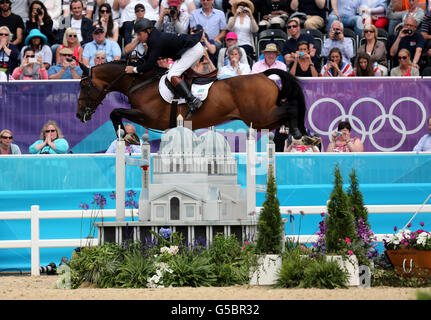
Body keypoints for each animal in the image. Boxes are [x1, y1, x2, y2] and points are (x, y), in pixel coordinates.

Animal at [77, 60, 308, 139]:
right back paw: (302, 134)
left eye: (84, 86)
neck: (140, 82)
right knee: (287, 112)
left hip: (260, 116)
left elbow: (115, 112)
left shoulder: (147, 116)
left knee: (290, 108)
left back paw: (299, 134)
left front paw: (124, 134)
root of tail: (263, 75)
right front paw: (125, 134)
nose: (79, 115)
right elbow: (115, 112)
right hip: (264, 120)